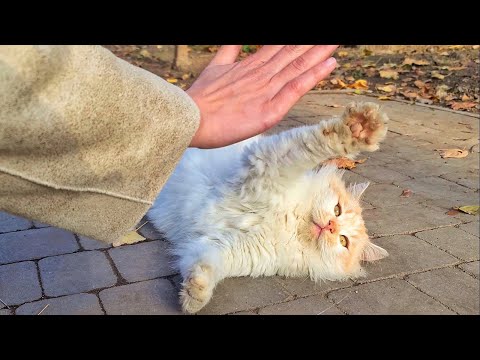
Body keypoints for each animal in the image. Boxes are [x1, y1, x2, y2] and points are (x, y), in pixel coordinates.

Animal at [149, 101, 390, 312]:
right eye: (337, 210)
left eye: (343, 241)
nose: (330, 226)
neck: (290, 220)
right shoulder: (266, 164)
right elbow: (321, 143)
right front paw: (361, 127)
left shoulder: (221, 247)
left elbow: (204, 266)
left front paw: (194, 296)